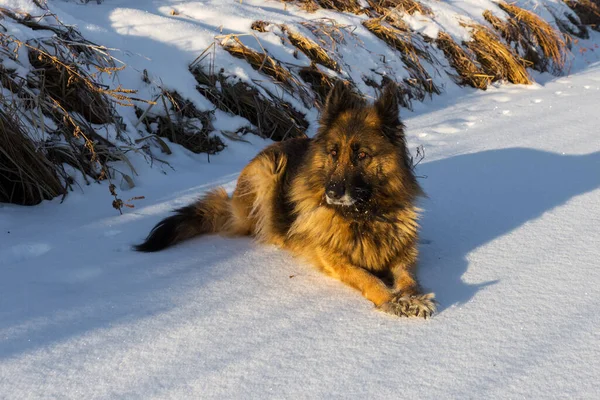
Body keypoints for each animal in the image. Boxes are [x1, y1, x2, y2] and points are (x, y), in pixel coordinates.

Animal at [136, 82, 436, 318]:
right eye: (333, 153)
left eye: (362, 155)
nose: (331, 192)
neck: (363, 214)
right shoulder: (333, 258)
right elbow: (367, 277)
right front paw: (390, 299)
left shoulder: (403, 252)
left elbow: (408, 277)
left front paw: (413, 298)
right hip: (269, 169)